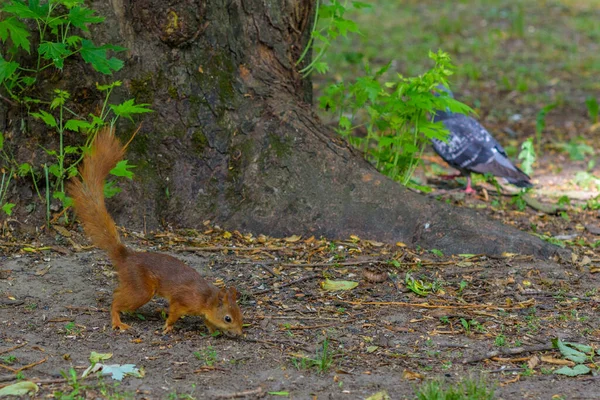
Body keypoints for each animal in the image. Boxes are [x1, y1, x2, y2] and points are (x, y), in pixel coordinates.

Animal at [67, 128, 241, 334]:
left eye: (241, 315)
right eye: (228, 318)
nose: (240, 333)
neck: (206, 298)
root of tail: (126, 257)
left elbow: (208, 321)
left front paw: (212, 331)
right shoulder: (182, 301)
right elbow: (174, 313)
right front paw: (168, 326)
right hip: (141, 289)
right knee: (116, 301)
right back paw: (118, 320)